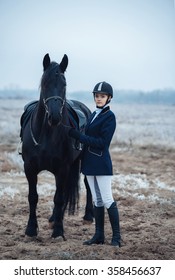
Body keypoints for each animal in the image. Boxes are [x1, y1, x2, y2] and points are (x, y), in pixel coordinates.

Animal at [21, 54, 93, 238]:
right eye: (45, 83)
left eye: (64, 84)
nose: (54, 117)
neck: (46, 134)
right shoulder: (29, 168)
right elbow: (33, 197)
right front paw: (31, 229)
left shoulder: (62, 168)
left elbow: (59, 198)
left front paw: (58, 231)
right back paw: (54, 217)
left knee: (87, 184)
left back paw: (88, 216)